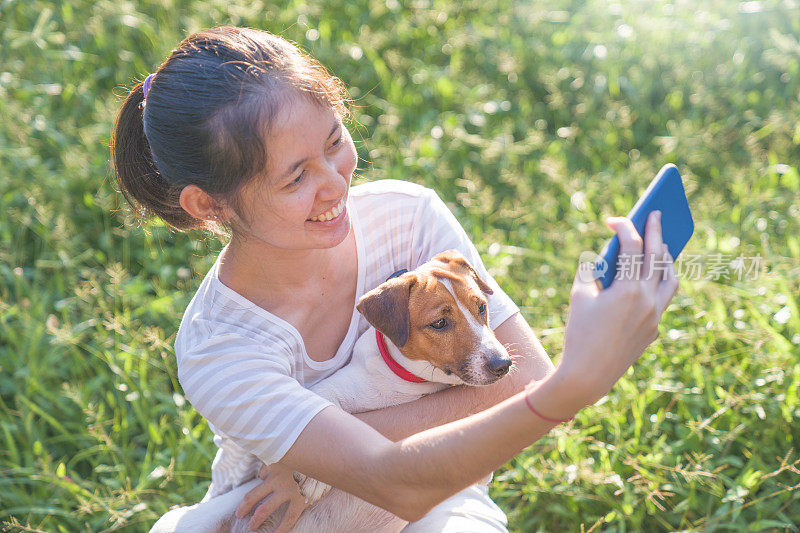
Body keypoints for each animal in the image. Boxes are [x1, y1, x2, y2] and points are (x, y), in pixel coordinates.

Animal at [150, 250, 512, 532]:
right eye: (439, 323)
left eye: (481, 307)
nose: (503, 364)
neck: (412, 386)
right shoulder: (329, 391)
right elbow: (332, 409)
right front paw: (314, 480)